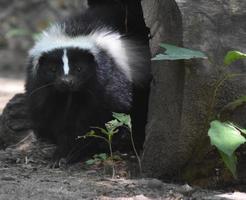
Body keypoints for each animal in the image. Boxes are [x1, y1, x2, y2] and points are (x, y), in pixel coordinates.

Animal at [25, 1, 150, 164]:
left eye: (79, 68)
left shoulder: (107, 82)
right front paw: (61, 153)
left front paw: (74, 151)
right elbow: (54, 117)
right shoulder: (43, 88)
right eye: (52, 69)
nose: (66, 82)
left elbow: (95, 119)